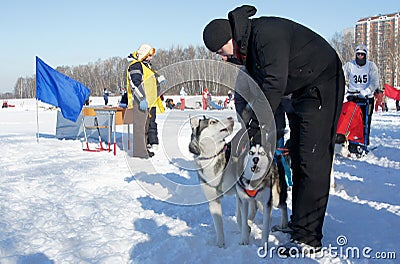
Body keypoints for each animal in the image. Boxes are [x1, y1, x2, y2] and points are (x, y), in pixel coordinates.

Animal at [189, 115, 239, 248]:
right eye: (212, 122)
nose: (231, 117)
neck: (211, 157)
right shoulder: (213, 201)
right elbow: (219, 225)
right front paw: (221, 245)